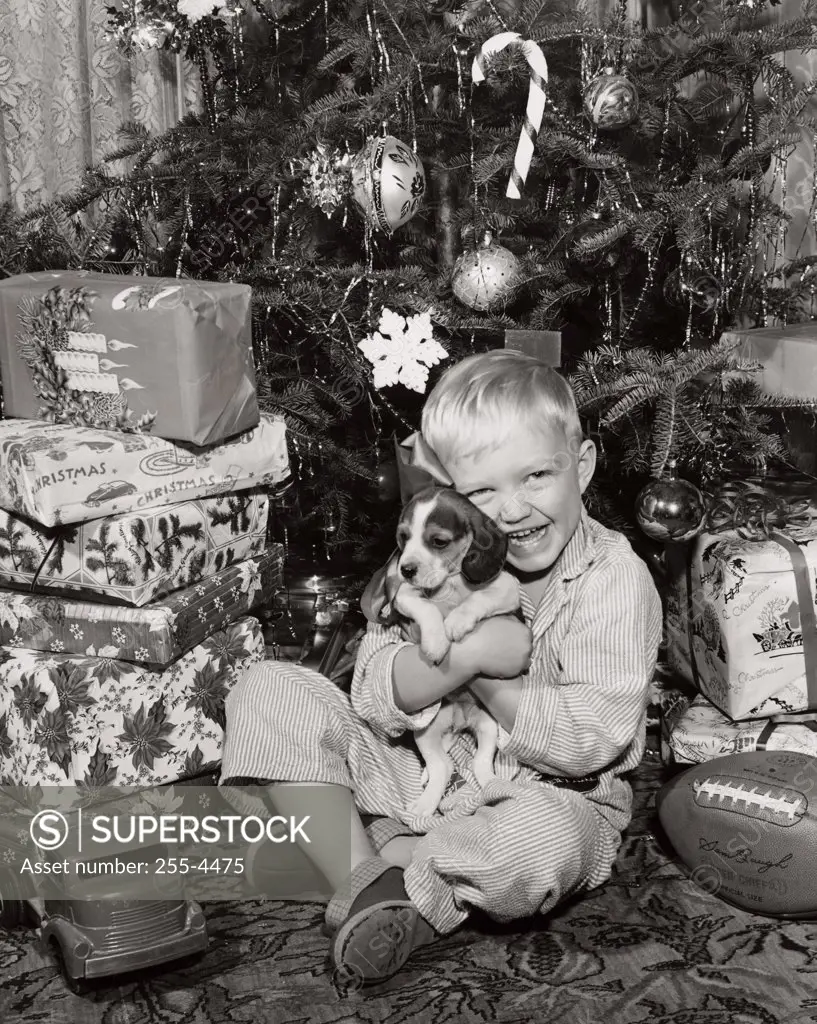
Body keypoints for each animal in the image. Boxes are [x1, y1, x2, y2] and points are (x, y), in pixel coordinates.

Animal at [376, 487, 518, 815]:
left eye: (438, 541)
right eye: (404, 537)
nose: (405, 569)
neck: (451, 582)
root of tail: (459, 719)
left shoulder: (508, 588)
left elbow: (479, 599)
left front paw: (456, 621)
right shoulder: (404, 595)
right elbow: (425, 606)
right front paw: (436, 641)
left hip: (488, 727)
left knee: (481, 765)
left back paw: (493, 786)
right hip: (425, 733)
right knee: (442, 766)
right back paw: (426, 802)